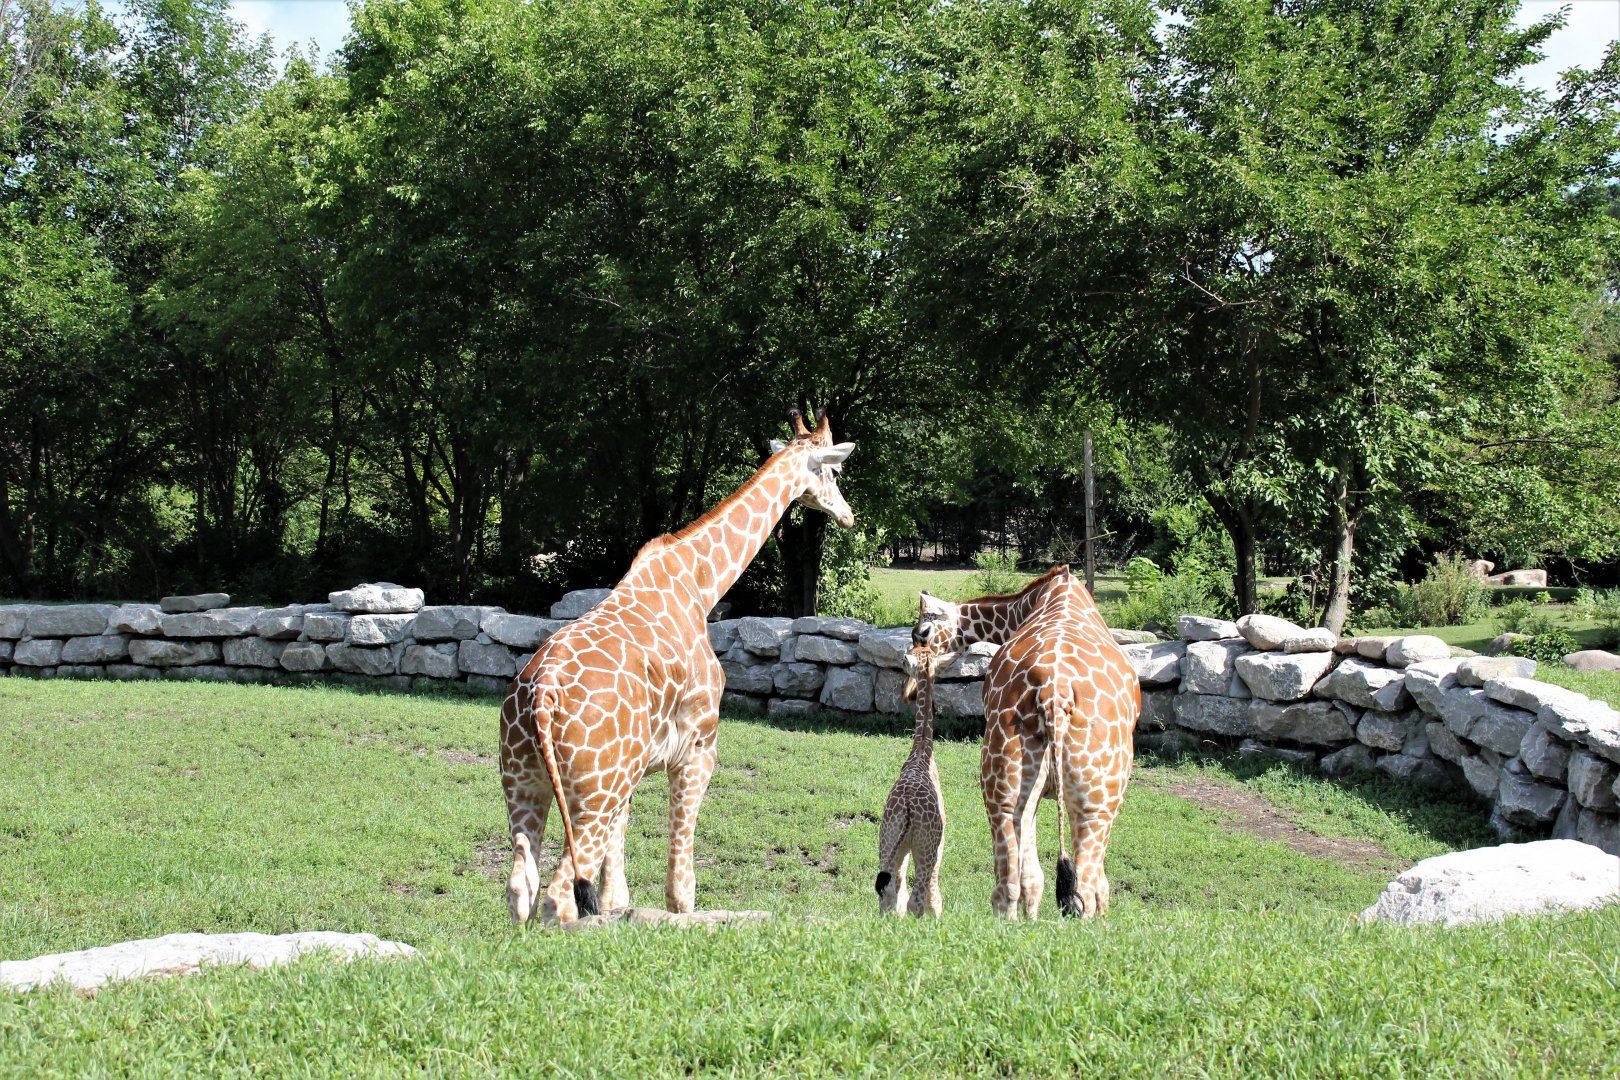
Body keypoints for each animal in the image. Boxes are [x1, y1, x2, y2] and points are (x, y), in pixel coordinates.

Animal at [502, 409, 856, 924]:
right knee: (559, 895)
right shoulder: (699, 747)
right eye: (833, 471)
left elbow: (615, 889)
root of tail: (541, 697)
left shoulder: (630, 772)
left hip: (527, 783)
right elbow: (681, 887)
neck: (701, 583)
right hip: (591, 794)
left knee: (521, 887)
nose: (848, 515)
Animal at [874, 643, 948, 918]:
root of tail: (906, 809)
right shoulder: (939, 845)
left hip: (887, 839)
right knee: (917, 898)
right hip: (925, 847)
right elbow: (932, 897)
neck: (921, 751)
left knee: (889, 894)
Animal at [913, 566, 1139, 920]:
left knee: (1037, 882)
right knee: (1071, 888)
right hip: (1086, 797)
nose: (913, 660)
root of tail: (1055, 695)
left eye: (921, 632)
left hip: (1051, 791)